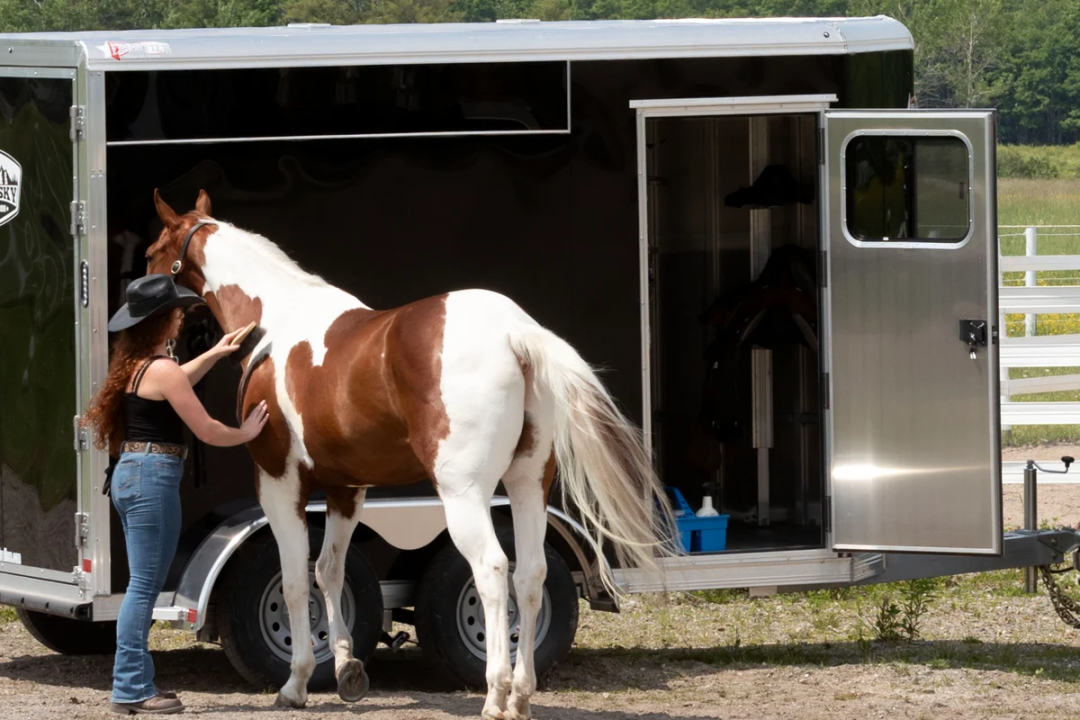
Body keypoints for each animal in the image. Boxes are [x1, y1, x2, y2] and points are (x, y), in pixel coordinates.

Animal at [144, 189, 677, 719]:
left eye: (151, 252)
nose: (159, 328)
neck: (276, 323)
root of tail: (515, 331)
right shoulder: (345, 489)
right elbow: (328, 570)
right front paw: (346, 669)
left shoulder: (279, 482)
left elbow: (295, 579)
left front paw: (295, 685)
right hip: (527, 485)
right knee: (530, 574)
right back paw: (521, 695)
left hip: (463, 495)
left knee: (492, 571)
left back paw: (496, 695)